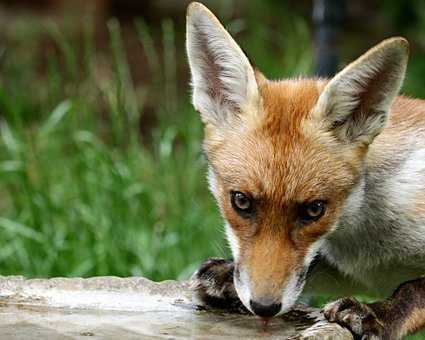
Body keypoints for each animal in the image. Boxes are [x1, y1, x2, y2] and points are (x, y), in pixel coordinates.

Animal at [185, 2, 424, 340]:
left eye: (314, 210)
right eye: (241, 201)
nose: (264, 308)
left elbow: (413, 290)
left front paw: (378, 316)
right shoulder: (352, 267)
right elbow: (314, 267)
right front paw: (227, 275)